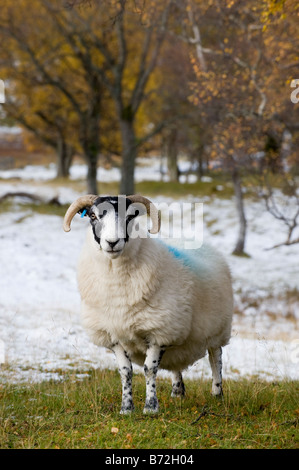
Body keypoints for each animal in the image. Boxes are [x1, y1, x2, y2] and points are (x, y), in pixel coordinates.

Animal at [63, 195, 234, 414]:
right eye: (93, 216)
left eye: (130, 216)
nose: (112, 242)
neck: (116, 285)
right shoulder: (113, 335)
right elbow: (125, 371)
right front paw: (126, 407)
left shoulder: (159, 331)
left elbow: (149, 369)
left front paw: (151, 407)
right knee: (177, 364)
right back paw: (177, 393)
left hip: (217, 329)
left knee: (216, 360)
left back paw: (217, 395)